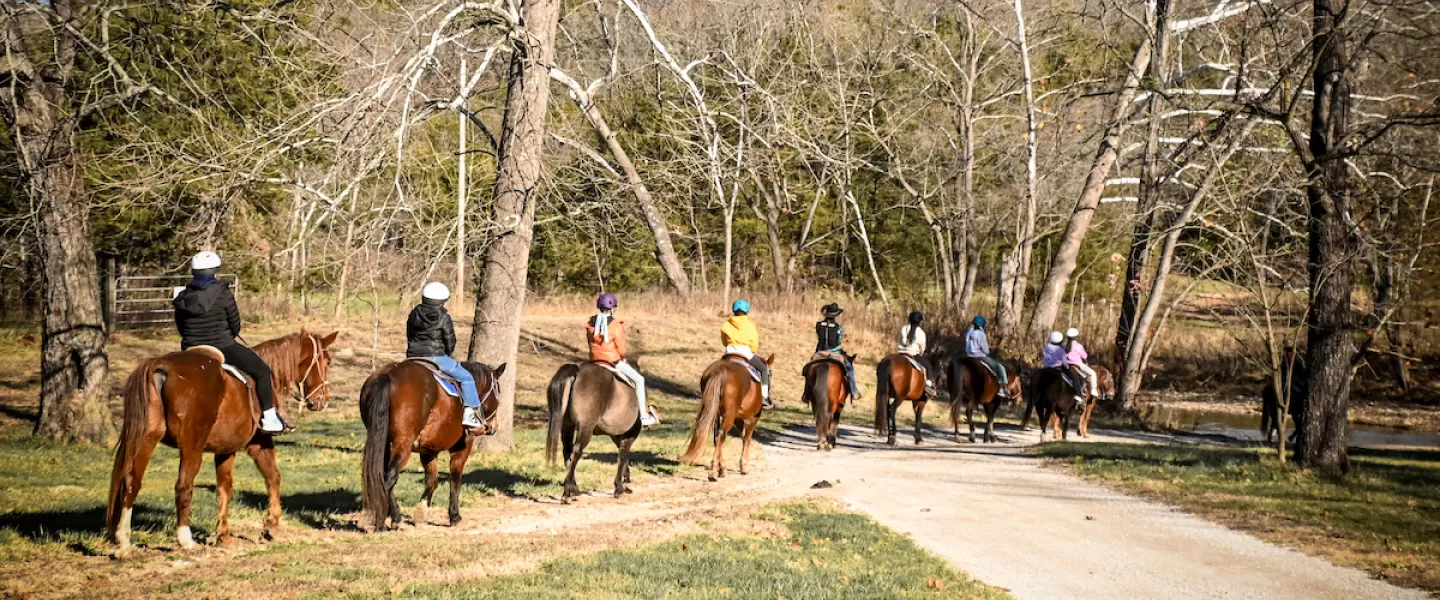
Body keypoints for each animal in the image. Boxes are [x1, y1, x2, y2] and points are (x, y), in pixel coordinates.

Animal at [106, 331, 337, 557]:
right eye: (327, 361)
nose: (323, 400)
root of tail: (161, 365)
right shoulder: (259, 443)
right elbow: (273, 477)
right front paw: (270, 525)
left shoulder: (226, 449)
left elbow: (224, 488)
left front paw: (223, 535)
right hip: (191, 446)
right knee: (183, 485)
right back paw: (186, 540)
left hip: (147, 439)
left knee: (131, 482)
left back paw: (123, 541)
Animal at [359, 359, 504, 531]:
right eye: (498, 392)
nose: (493, 426)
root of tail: (389, 374)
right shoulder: (463, 447)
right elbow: (455, 478)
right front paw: (454, 516)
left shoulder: (428, 451)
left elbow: (432, 480)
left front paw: (421, 512)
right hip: (403, 443)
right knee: (390, 477)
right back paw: (381, 522)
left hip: (384, 440)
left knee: (383, 476)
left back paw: (395, 517)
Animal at [545, 361, 645, 502]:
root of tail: (577, 370)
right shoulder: (629, 435)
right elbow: (623, 456)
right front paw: (620, 487)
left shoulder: (617, 436)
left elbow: (623, 455)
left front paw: (623, 483)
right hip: (585, 428)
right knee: (576, 453)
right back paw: (568, 492)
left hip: (567, 426)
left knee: (568, 453)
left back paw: (574, 489)